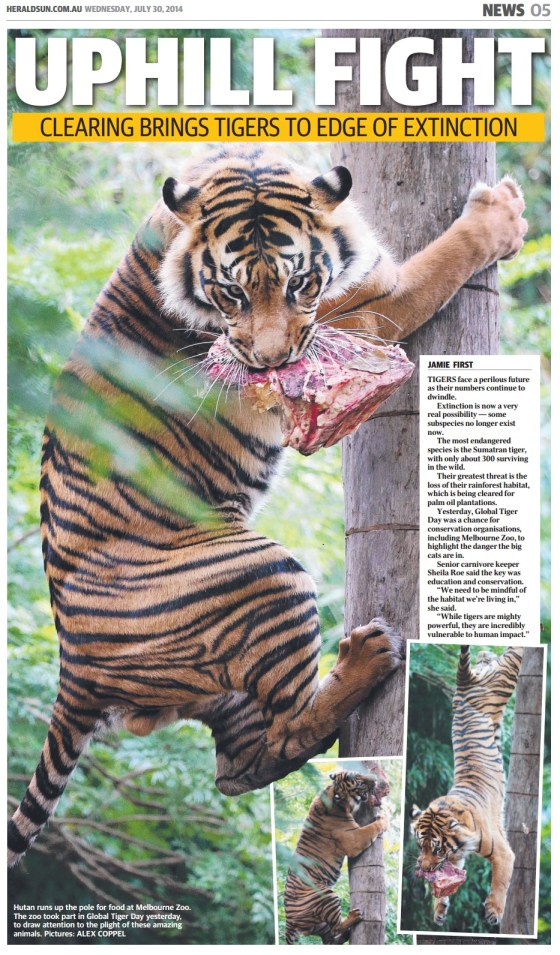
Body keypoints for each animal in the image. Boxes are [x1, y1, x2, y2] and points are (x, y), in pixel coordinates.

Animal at [8, 145, 526, 866]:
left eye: (299, 283)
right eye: (229, 294)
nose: (271, 362)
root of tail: (73, 670)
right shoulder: (369, 307)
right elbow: (446, 259)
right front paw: (500, 213)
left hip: (221, 687)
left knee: (240, 769)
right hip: (264, 574)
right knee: (288, 723)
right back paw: (366, 658)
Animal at [284, 769, 390, 944]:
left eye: (358, 774)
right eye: (360, 783)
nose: (375, 779)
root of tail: (289, 920)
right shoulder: (355, 839)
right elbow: (373, 827)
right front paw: (383, 817)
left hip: (320, 925)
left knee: (330, 940)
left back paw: (346, 934)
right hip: (327, 896)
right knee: (335, 927)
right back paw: (354, 916)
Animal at [410, 645, 524, 927]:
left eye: (436, 848)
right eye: (420, 845)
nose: (424, 869)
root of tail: (462, 683)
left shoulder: (502, 852)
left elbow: (500, 881)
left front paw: (493, 912)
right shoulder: (456, 856)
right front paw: (439, 909)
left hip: (505, 678)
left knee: (513, 651)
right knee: (485, 655)